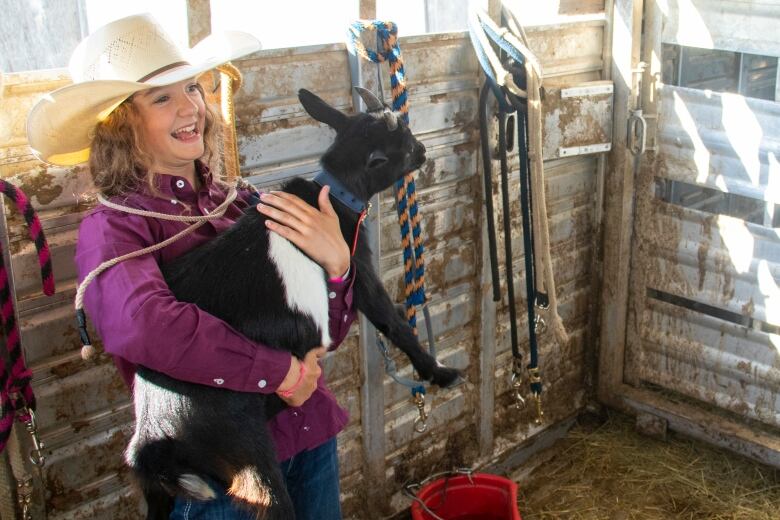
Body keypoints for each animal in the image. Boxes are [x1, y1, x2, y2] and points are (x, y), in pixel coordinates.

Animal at [128, 89, 464, 520]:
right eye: (403, 145)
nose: (421, 150)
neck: (334, 195)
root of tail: (152, 435)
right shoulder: (359, 270)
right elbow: (393, 322)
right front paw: (439, 372)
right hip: (246, 449)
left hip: (165, 490)